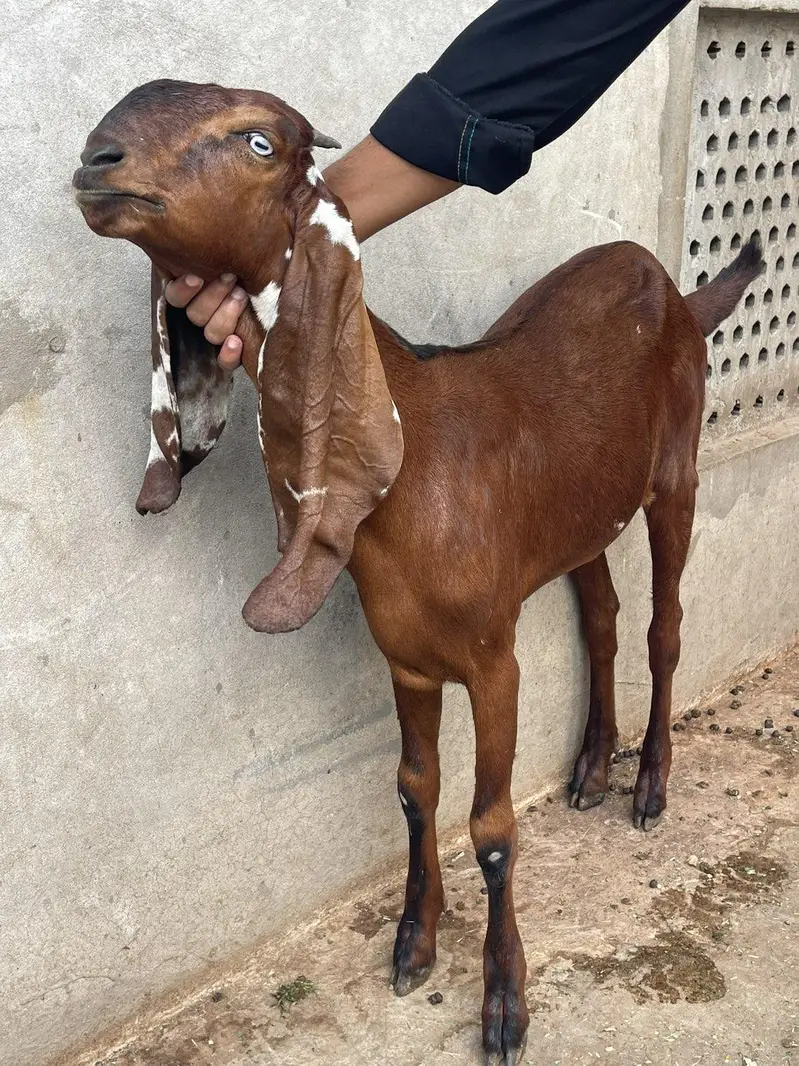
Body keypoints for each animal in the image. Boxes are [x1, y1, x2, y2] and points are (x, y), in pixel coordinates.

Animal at [73, 80, 763, 1065]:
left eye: (256, 141)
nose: (98, 160)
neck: (412, 467)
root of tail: (671, 289)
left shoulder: (493, 661)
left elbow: (492, 828)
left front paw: (504, 1003)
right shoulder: (404, 658)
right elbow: (412, 789)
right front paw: (414, 941)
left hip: (676, 477)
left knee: (663, 626)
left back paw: (647, 787)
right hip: (582, 514)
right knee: (600, 615)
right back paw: (592, 769)